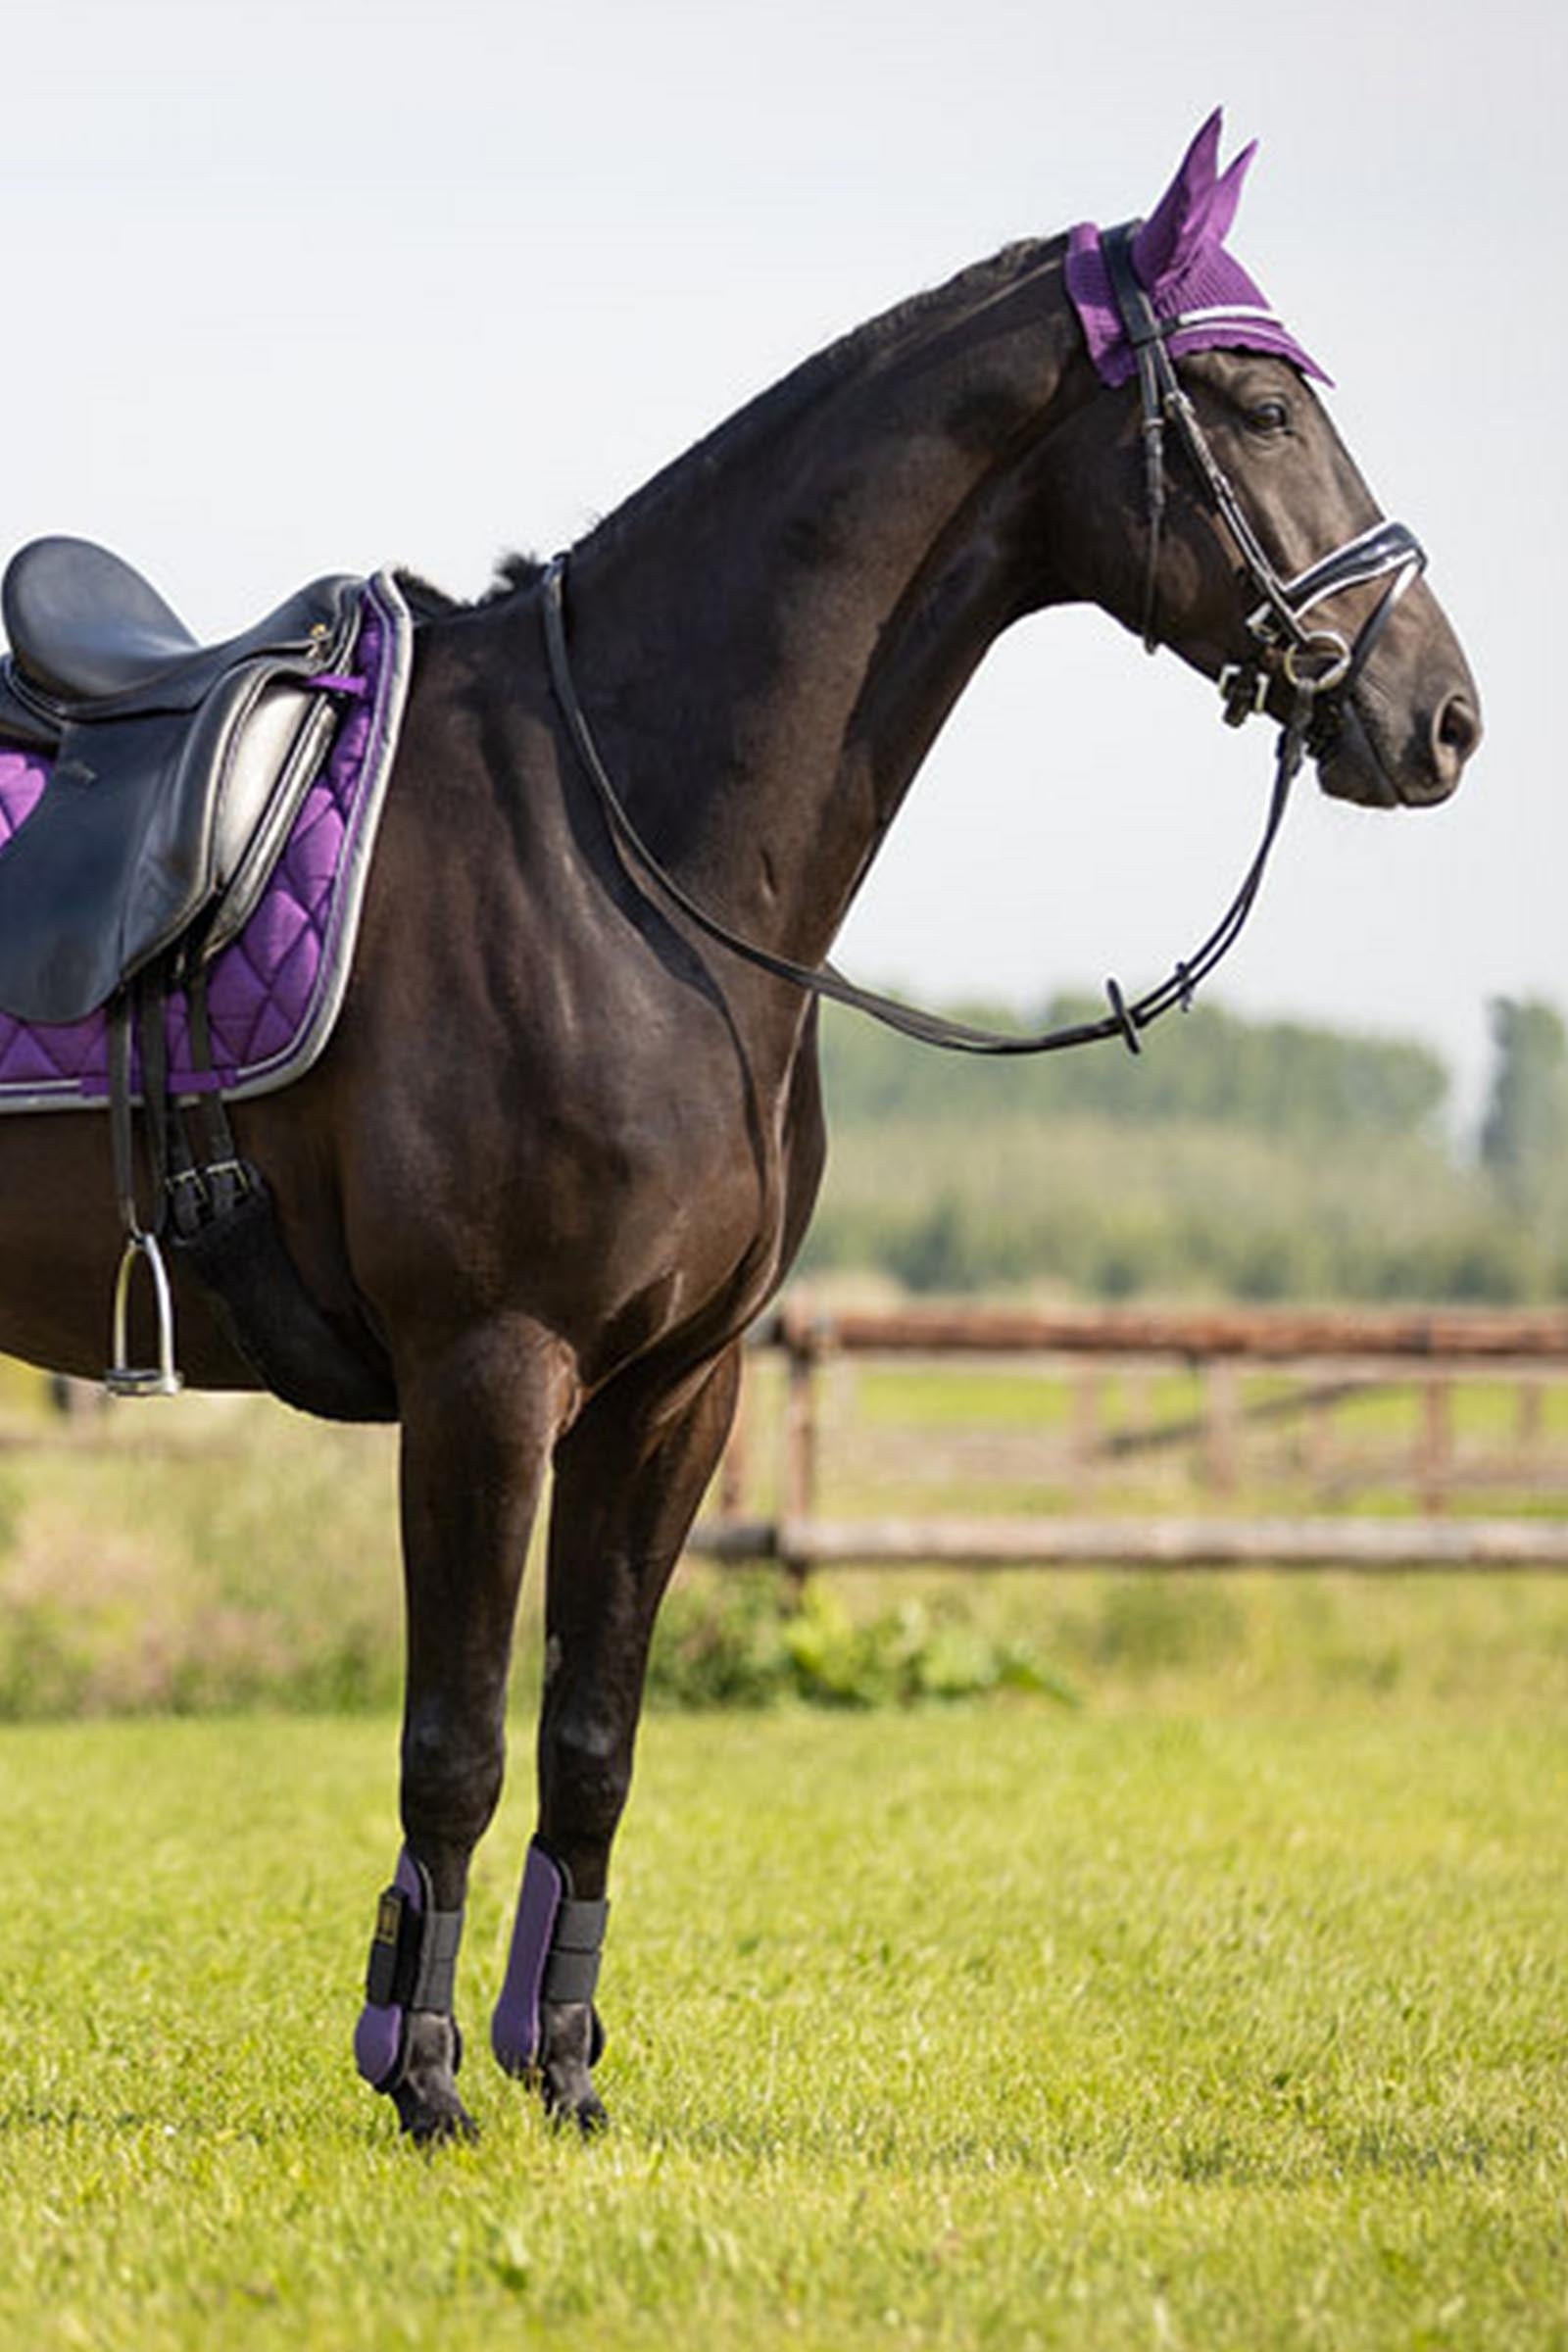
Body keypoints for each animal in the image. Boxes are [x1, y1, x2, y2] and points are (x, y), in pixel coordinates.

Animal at [0, 115, 1479, 2142]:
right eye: (1254, 406)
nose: (1443, 718)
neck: (625, 848)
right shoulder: (489, 1372)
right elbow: (456, 1747)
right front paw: (425, 2079)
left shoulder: (673, 1391)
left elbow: (592, 1742)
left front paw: (559, 2072)